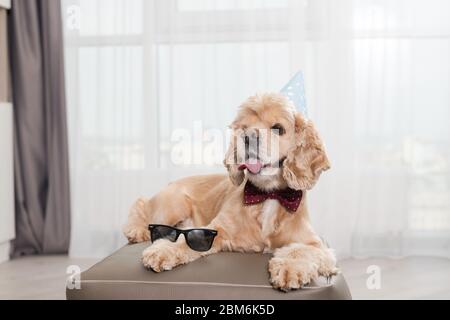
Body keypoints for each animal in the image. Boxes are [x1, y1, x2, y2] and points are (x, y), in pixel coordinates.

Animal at [122, 92, 338, 290]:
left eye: (279, 128)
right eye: (244, 128)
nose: (248, 136)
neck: (268, 195)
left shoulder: (314, 243)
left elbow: (300, 251)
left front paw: (290, 269)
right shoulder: (217, 229)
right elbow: (185, 240)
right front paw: (162, 251)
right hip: (173, 204)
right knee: (142, 206)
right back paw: (136, 231)